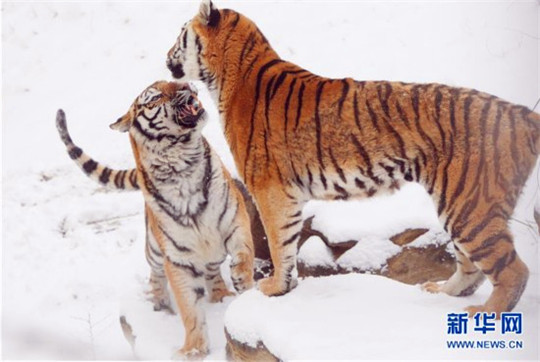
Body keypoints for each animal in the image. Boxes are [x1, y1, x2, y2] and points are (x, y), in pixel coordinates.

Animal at [167, 0, 536, 316]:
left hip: (469, 206)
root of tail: (520, 114)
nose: (166, 56)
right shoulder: (288, 195)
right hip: (462, 206)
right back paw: (441, 292)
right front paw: (286, 284)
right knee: (472, 266)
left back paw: (484, 313)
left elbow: (277, 243)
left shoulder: (270, 190)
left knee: (514, 270)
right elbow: (288, 241)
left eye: (180, 34)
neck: (227, 73)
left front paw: (274, 287)